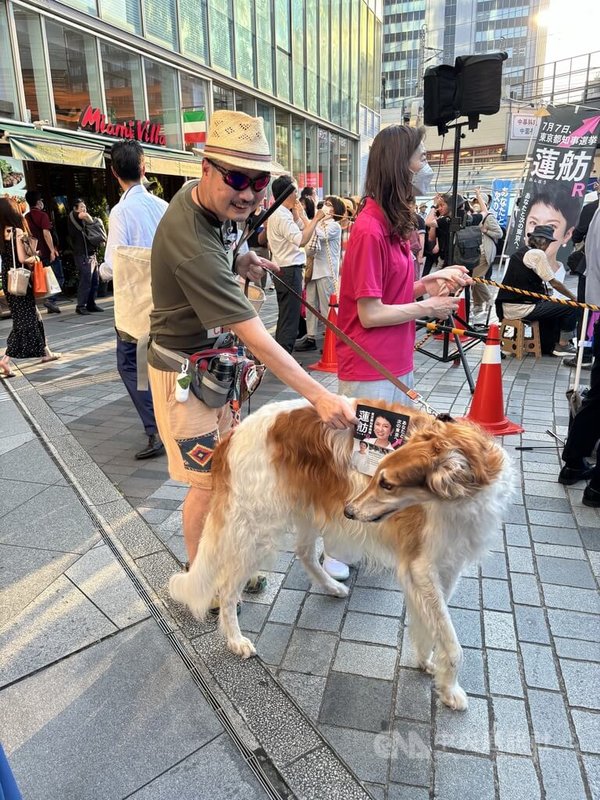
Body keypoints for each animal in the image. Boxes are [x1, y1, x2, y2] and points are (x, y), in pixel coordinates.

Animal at [169, 400, 510, 712]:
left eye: (387, 484)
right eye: (377, 476)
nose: (348, 511)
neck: (461, 497)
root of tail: (233, 434)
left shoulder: (446, 565)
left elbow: (432, 625)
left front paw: (428, 662)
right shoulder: (421, 566)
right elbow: (453, 645)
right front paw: (451, 691)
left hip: (302, 509)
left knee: (304, 553)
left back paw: (332, 587)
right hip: (258, 528)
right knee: (228, 589)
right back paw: (236, 640)